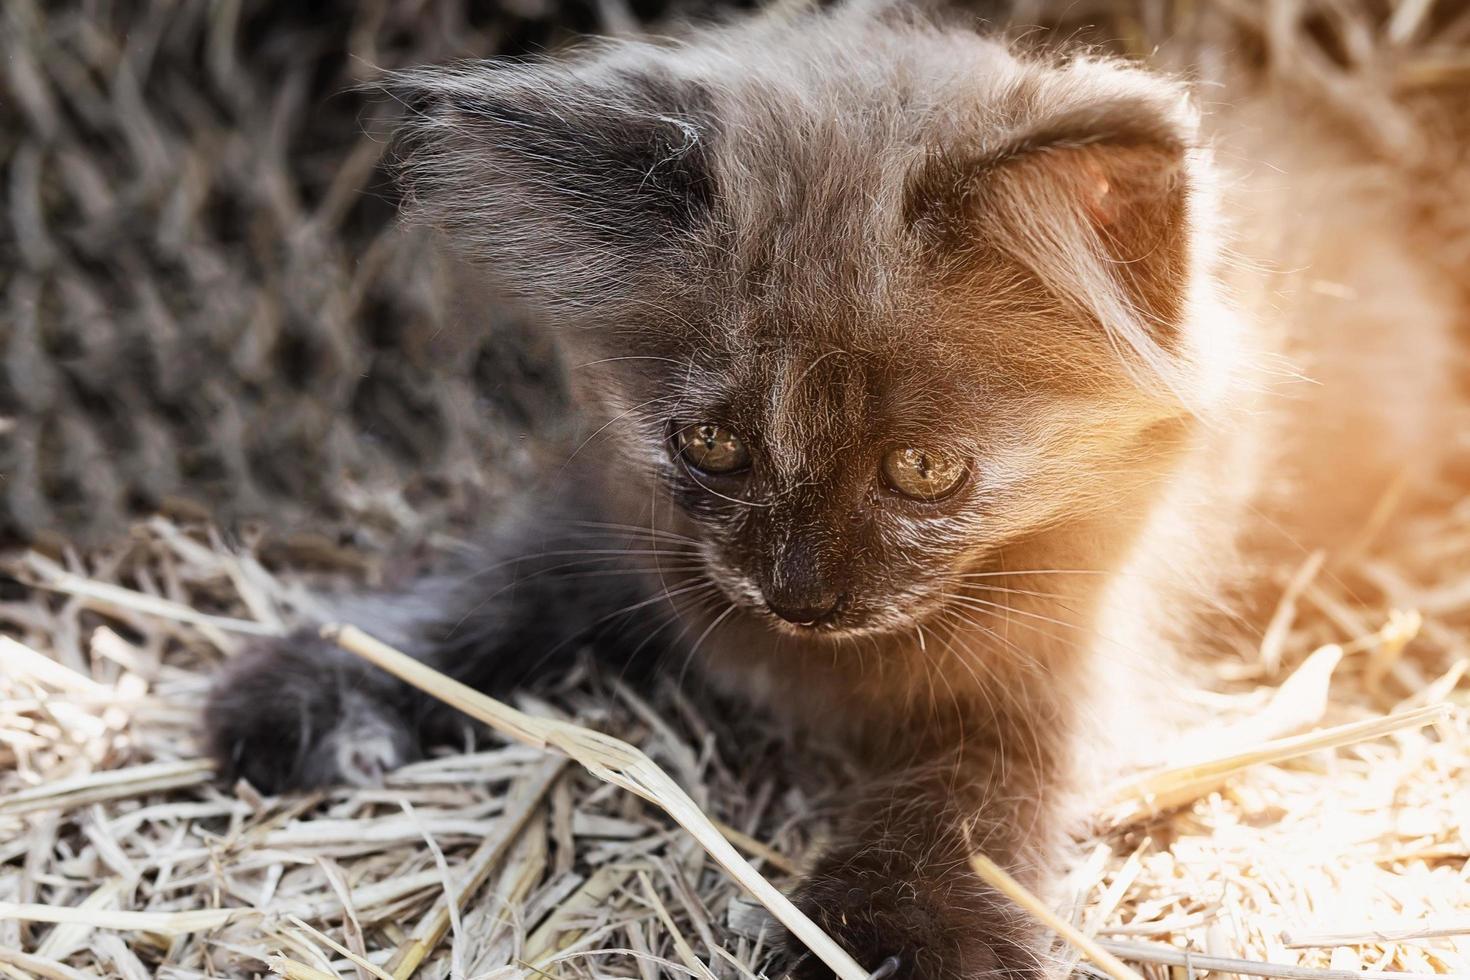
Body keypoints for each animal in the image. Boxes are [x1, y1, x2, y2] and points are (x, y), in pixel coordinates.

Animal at [201, 3, 1464, 975]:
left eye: (924, 468)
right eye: (712, 442)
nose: (800, 594)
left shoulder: (1071, 653)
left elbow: (967, 793)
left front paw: (892, 927)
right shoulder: (610, 524)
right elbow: (492, 589)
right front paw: (318, 680)